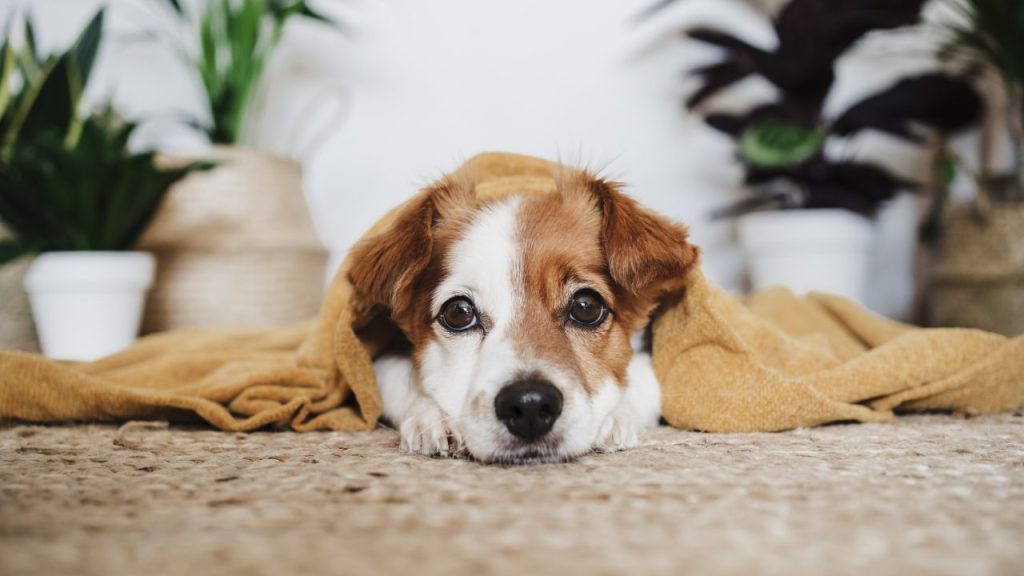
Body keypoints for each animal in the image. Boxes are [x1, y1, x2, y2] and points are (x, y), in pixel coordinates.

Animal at [350, 162, 696, 461]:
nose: (530, 405)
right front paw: (432, 416)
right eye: (459, 313)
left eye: (586, 307)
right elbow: (403, 378)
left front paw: (615, 416)